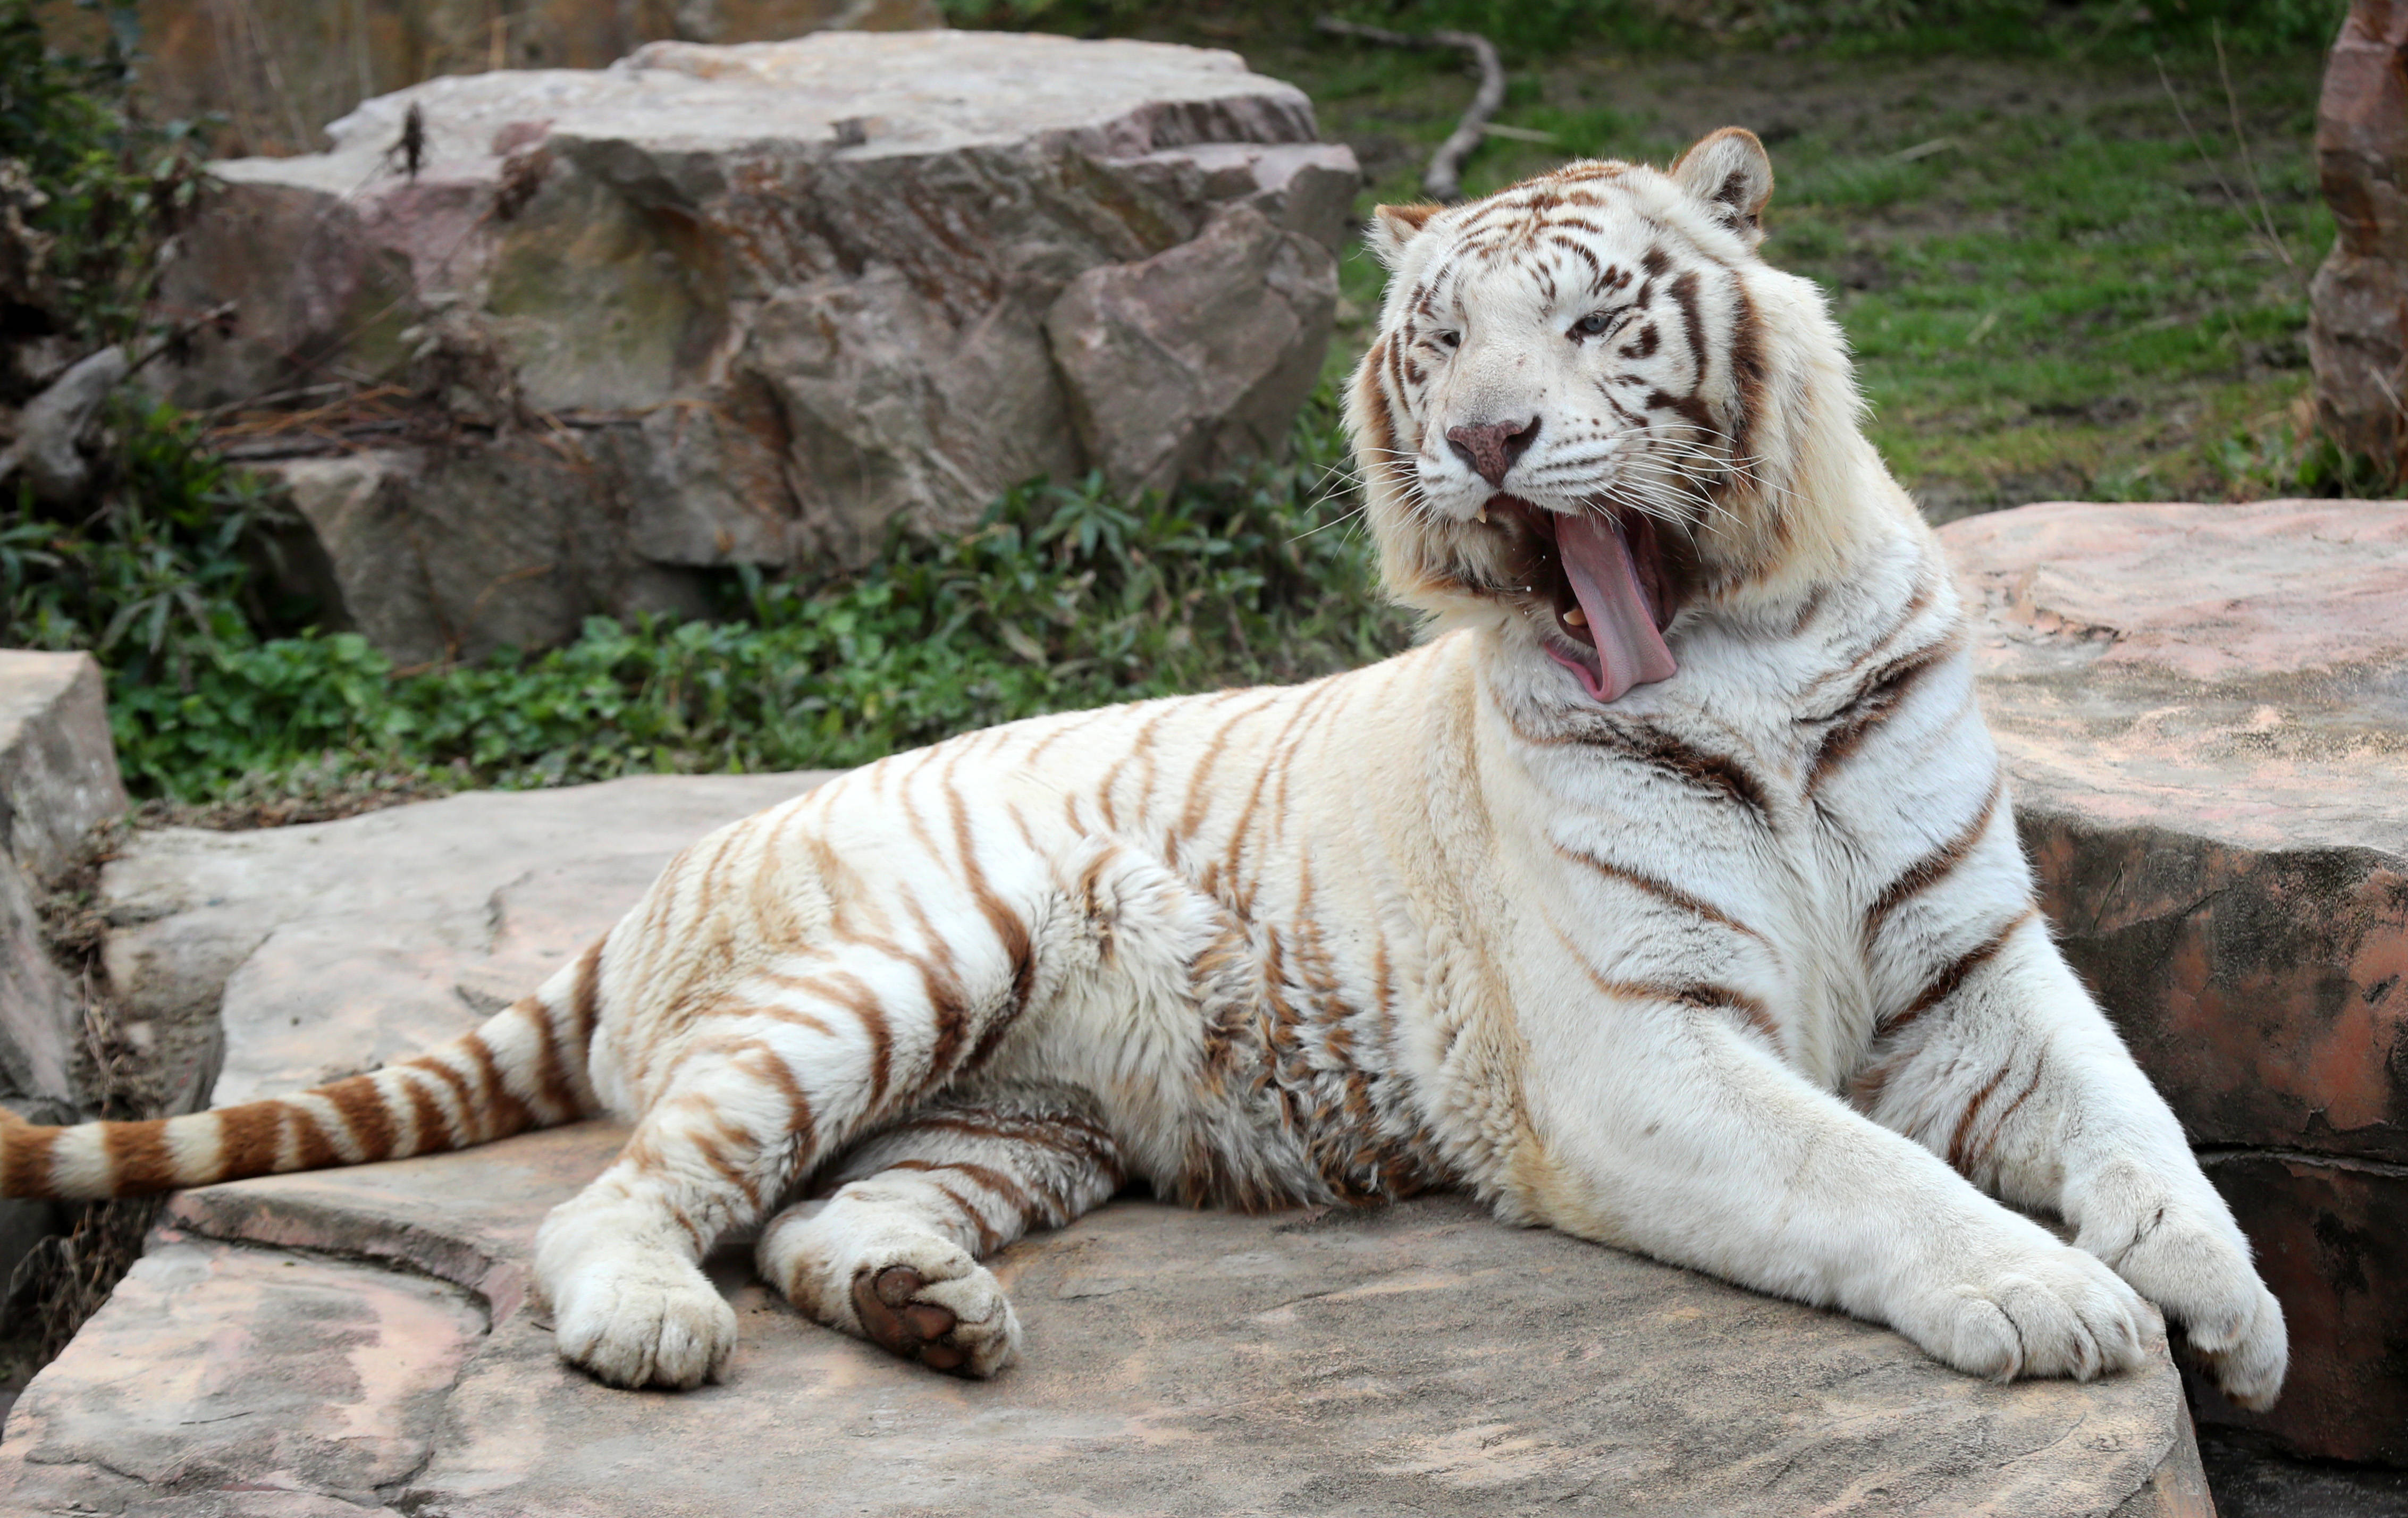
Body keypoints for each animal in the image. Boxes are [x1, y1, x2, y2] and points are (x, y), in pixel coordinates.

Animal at [0, 128, 2273, 1416]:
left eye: (1589, 320)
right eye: (1438, 345)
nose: (1485, 443)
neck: (1746, 654)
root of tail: (659, 882)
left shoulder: (1973, 960)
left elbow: (2142, 1122)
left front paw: (2228, 1314)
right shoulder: (1636, 1045)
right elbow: (1873, 1174)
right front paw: (2052, 1300)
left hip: (1009, 1116)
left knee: (820, 1214)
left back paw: (928, 1307)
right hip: (917, 956)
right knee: (631, 1197)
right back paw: (656, 1323)